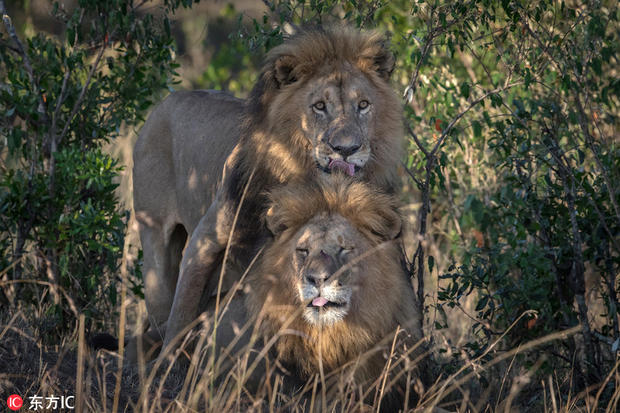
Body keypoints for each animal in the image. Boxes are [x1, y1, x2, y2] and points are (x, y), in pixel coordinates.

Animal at [133, 26, 404, 354]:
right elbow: (180, 317)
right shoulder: (204, 243)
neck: (303, 180)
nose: (347, 149)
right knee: (163, 313)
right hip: (155, 249)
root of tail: (166, 101)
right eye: (319, 106)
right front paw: (168, 363)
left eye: (363, 105)